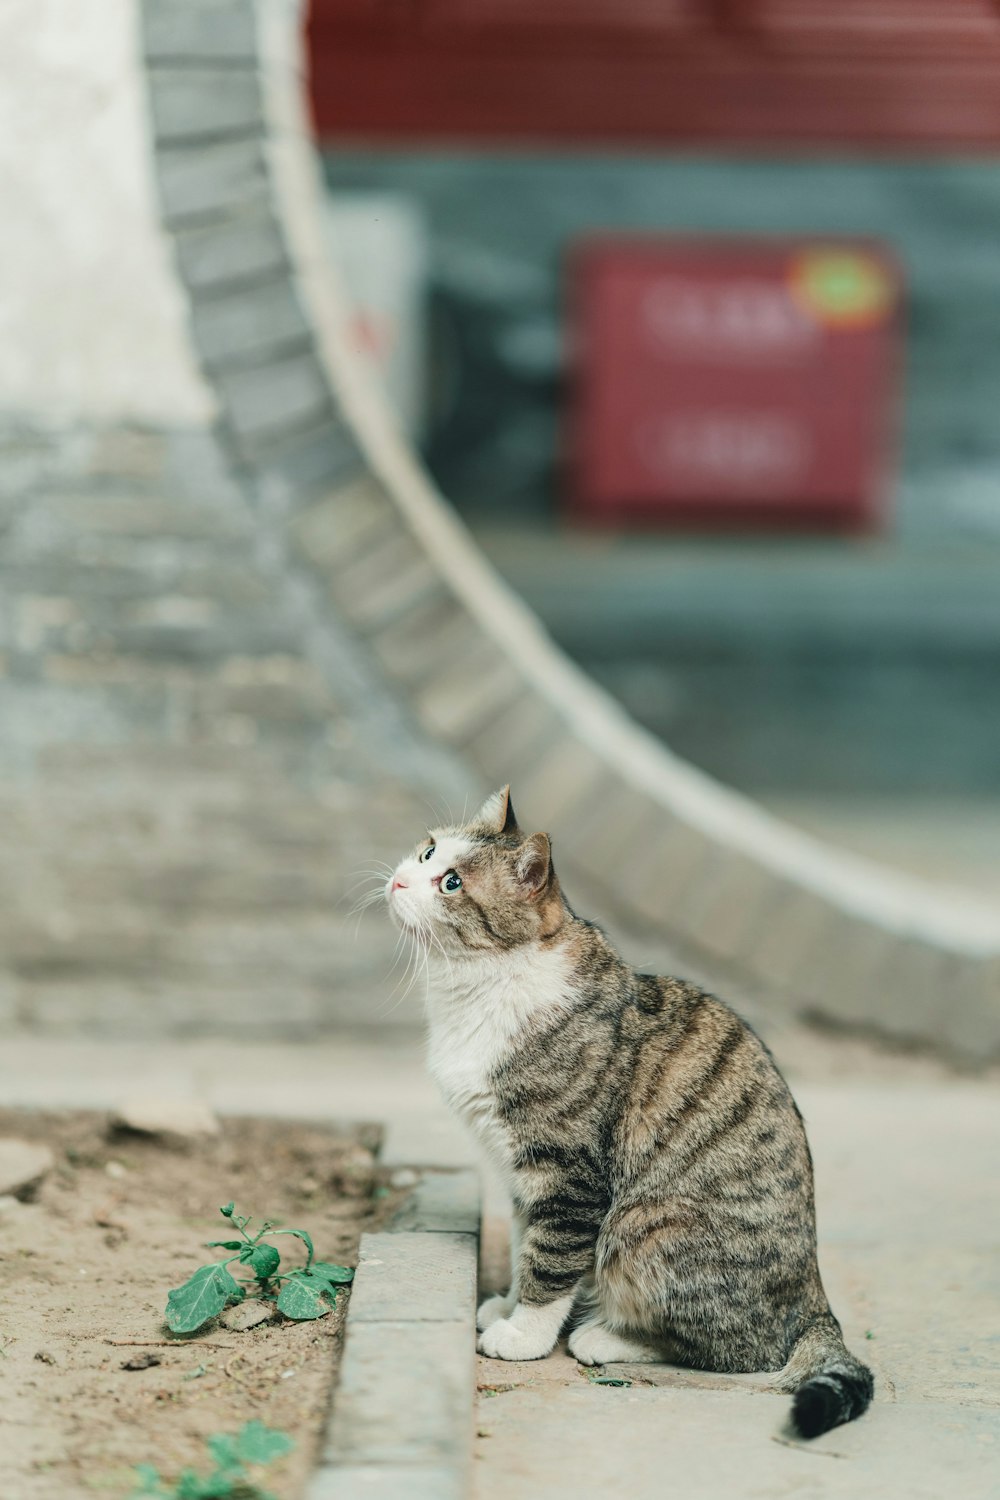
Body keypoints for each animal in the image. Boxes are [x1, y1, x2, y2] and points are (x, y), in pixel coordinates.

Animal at [386, 792, 869, 1434]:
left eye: (452, 883)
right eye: (428, 852)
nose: (397, 879)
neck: (479, 987)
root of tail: (816, 1301)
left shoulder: (567, 1176)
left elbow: (550, 1261)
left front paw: (523, 1334)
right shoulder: (521, 1177)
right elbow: (522, 1246)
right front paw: (507, 1305)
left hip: (644, 1226)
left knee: (738, 1350)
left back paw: (607, 1337)